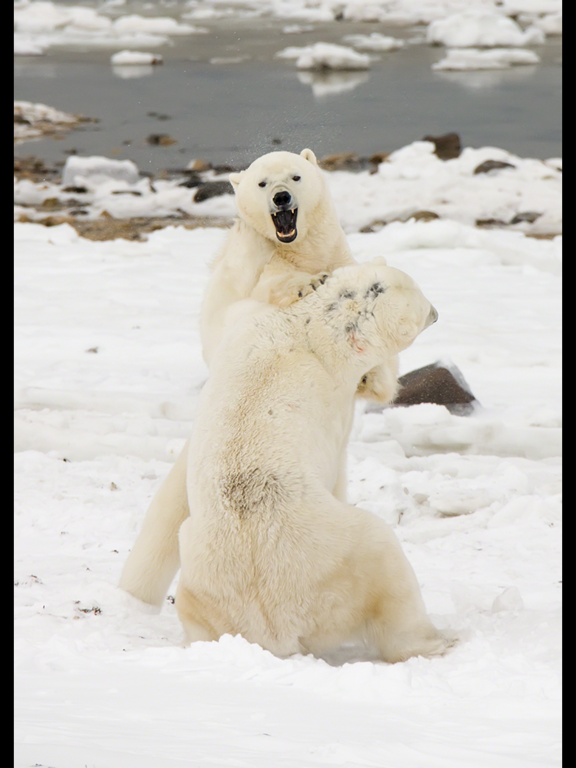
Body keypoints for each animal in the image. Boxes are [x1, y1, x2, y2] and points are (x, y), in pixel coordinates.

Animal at [174, 261, 451, 662]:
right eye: (420, 300)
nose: (437, 313)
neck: (307, 330)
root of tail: (275, 626)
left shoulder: (243, 327)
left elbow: (220, 318)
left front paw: (309, 282)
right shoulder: (341, 377)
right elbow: (378, 387)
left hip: (203, 574)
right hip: (337, 560)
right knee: (386, 565)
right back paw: (438, 639)